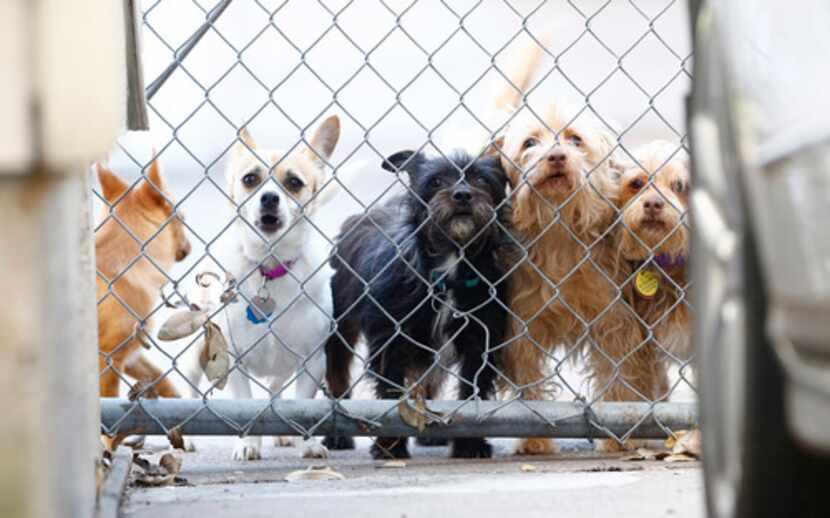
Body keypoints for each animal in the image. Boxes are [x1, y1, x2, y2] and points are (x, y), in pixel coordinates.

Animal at [187, 117, 342, 464]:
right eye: (250, 179)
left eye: (294, 183)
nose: (269, 197)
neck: (270, 267)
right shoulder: (234, 362)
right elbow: (247, 406)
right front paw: (247, 444)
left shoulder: (312, 362)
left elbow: (303, 405)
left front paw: (308, 443)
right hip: (196, 352)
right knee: (190, 386)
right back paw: (185, 437)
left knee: (274, 390)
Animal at [324, 149, 512, 460]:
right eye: (435, 181)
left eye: (482, 180)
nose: (462, 194)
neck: (450, 264)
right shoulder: (391, 340)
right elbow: (391, 394)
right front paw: (390, 446)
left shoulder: (480, 341)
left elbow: (471, 392)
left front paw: (469, 444)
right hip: (341, 325)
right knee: (337, 374)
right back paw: (336, 437)